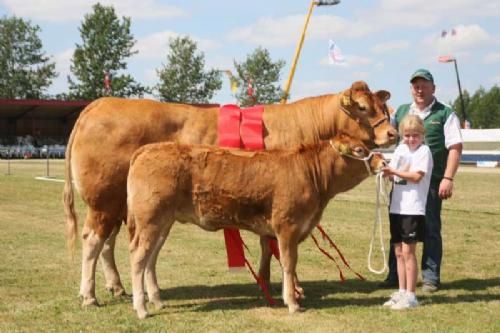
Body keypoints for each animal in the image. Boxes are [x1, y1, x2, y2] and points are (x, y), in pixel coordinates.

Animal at [126, 133, 386, 316]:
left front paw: (270, 292)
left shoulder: (271, 232)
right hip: (150, 220)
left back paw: (157, 300)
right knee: (138, 257)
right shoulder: (288, 227)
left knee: (151, 258)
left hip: (163, 223)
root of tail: (149, 148)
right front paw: (292, 302)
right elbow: (289, 263)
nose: (383, 162)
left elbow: (267, 263)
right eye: (360, 149)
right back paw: (141, 308)